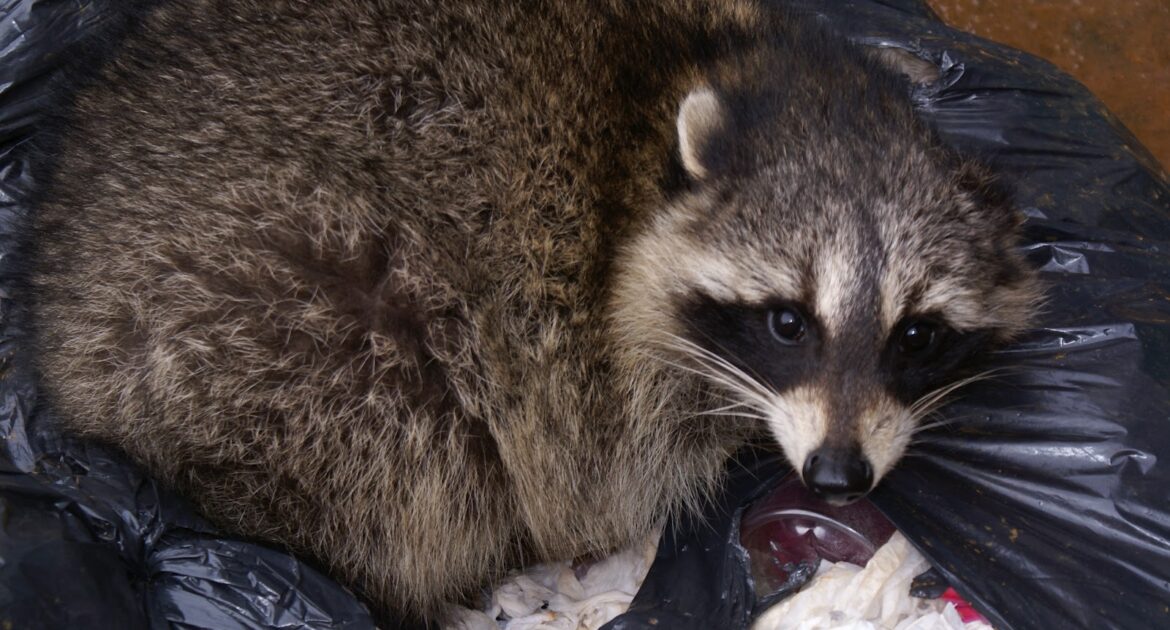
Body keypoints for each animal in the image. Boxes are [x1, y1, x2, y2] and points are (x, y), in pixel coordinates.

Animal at [27, 0, 1041, 624]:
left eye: (917, 336)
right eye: (790, 323)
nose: (835, 477)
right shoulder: (603, 365)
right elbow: (612, 472)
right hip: (261, 312)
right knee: (416, 441)